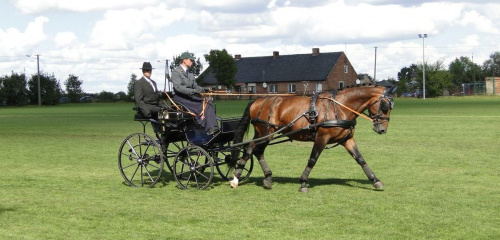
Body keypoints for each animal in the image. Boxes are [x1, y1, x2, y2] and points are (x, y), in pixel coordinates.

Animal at [229, 84, 396, 191]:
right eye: (385, 106)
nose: (382, 129)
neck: (339, 107)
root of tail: (258, 100)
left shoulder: (347, 139)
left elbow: (360, 159)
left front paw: (375, 180)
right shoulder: (322, 137)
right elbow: (312, 159)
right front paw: (303, 182)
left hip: (263, 133)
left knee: (252, 149)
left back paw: (255, 177)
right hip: (265, 133)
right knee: (254, 150)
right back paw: (238, 178)